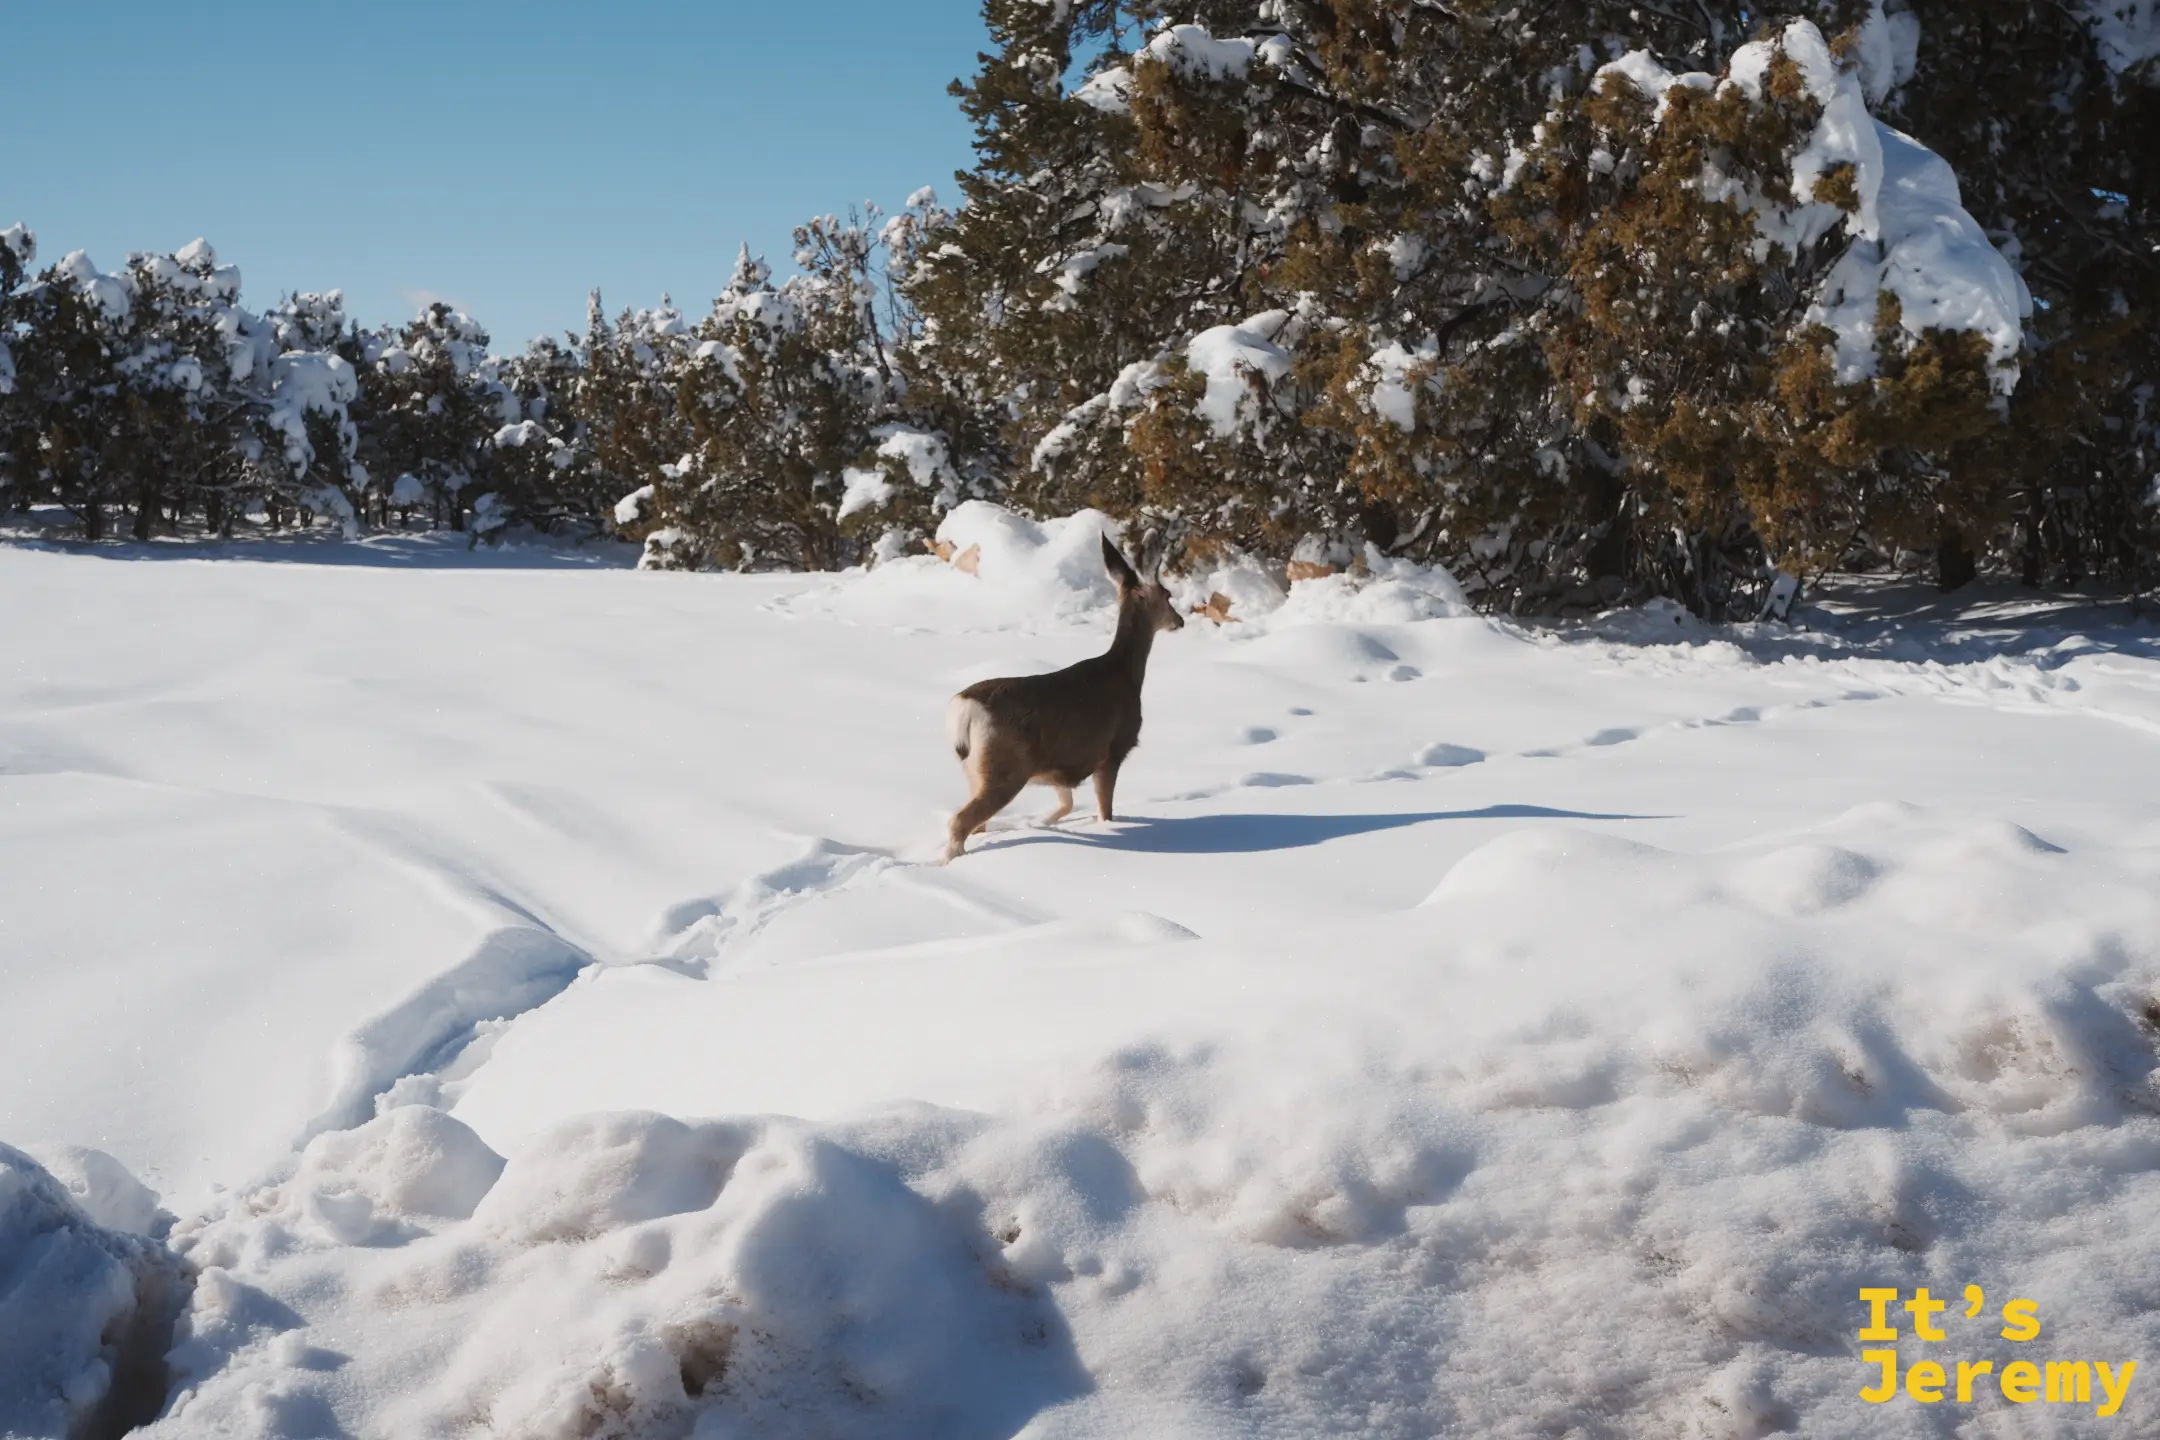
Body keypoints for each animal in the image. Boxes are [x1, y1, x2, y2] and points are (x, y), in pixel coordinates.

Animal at [945, 534, 1184, 861]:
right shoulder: (1112, 750)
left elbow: (1066, 803)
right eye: (1168, 595)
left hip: (974, 770)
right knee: (960, 821)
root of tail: (964, 708)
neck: (1125, 673)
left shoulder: (1059, 767)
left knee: (977, 823)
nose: (1180, 621)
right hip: (1006, 767)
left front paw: (1042, 822)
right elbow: (1104, 811)